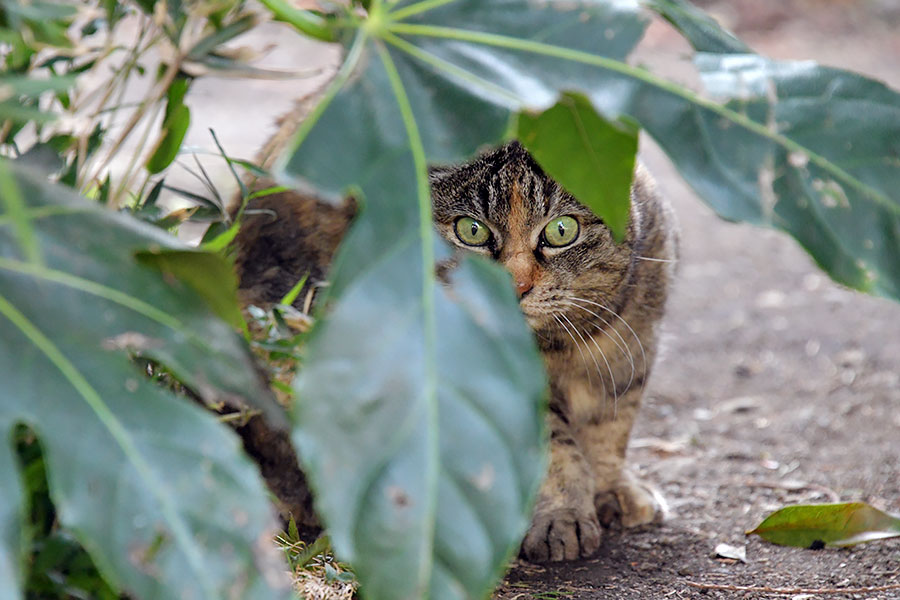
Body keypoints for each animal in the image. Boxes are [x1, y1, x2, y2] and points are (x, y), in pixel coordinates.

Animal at [232, 138, 676, 560]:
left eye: (562, 231)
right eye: (472, 231)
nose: (515, 286)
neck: (565, 342)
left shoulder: (632, 347)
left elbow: (611, 427)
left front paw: (613, 488)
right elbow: (554, 448)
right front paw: (562, 516)